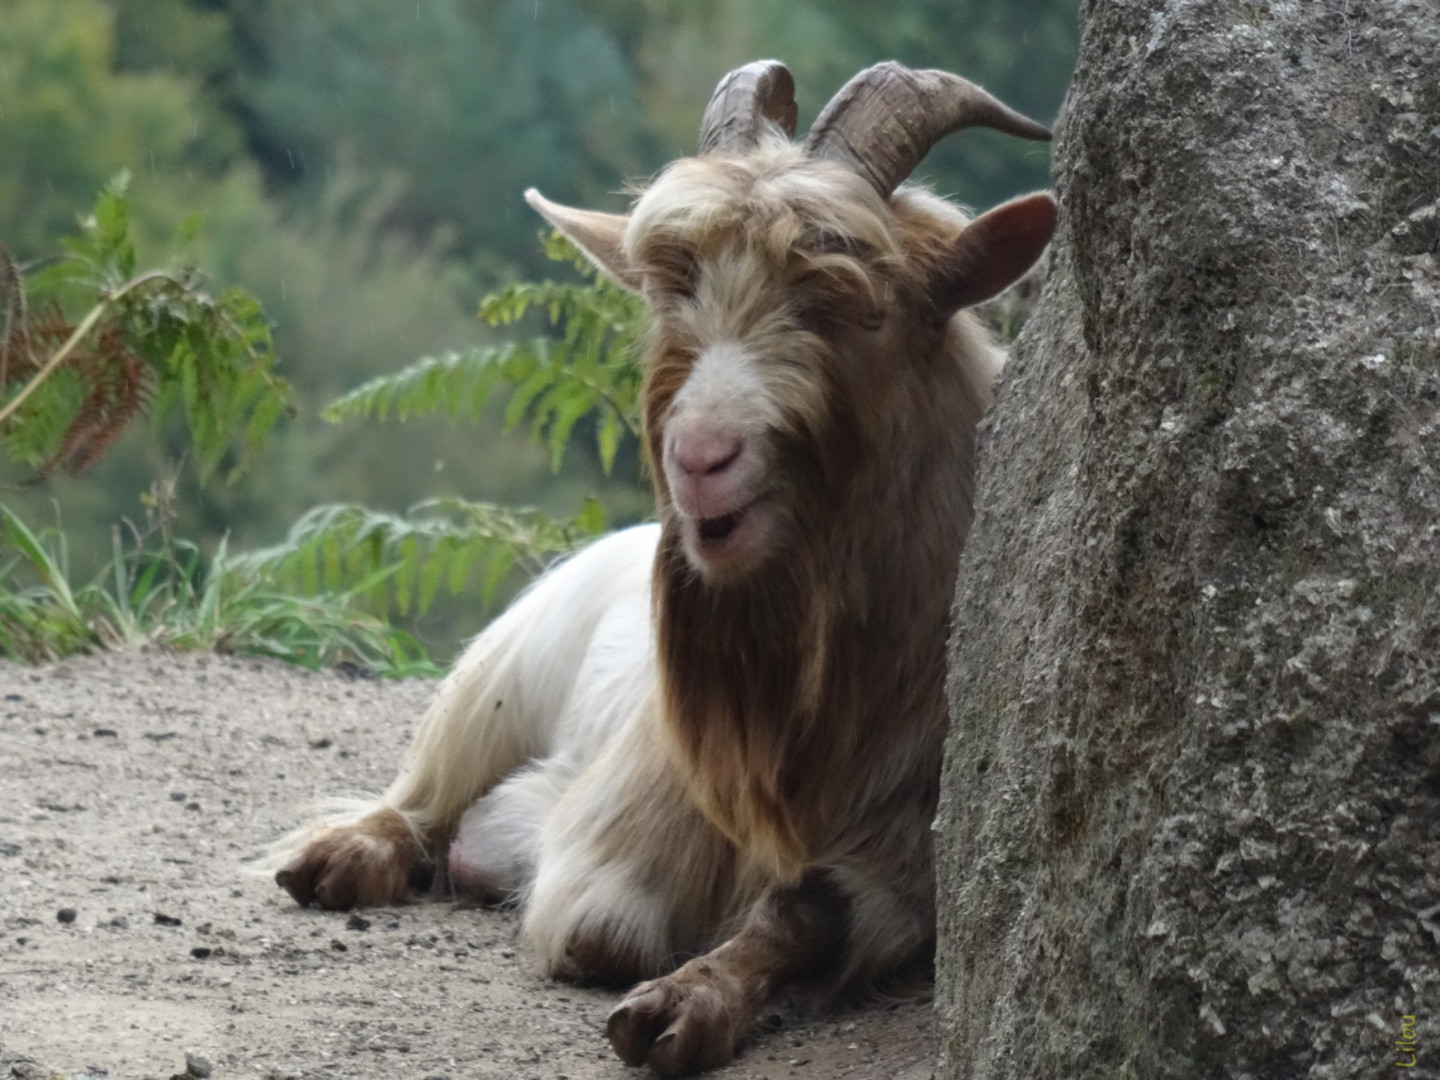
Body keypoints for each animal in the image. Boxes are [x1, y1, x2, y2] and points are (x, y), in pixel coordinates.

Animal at [272, 63, 1059, 1077]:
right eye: (668, 298)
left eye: (860, 308)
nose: (700, 457)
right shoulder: (623, 837)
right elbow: (599, 928)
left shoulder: (911, 844)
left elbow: (808, 910)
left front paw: (689, 1003)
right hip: (498, 680)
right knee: (421, 800)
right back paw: (345, 857)